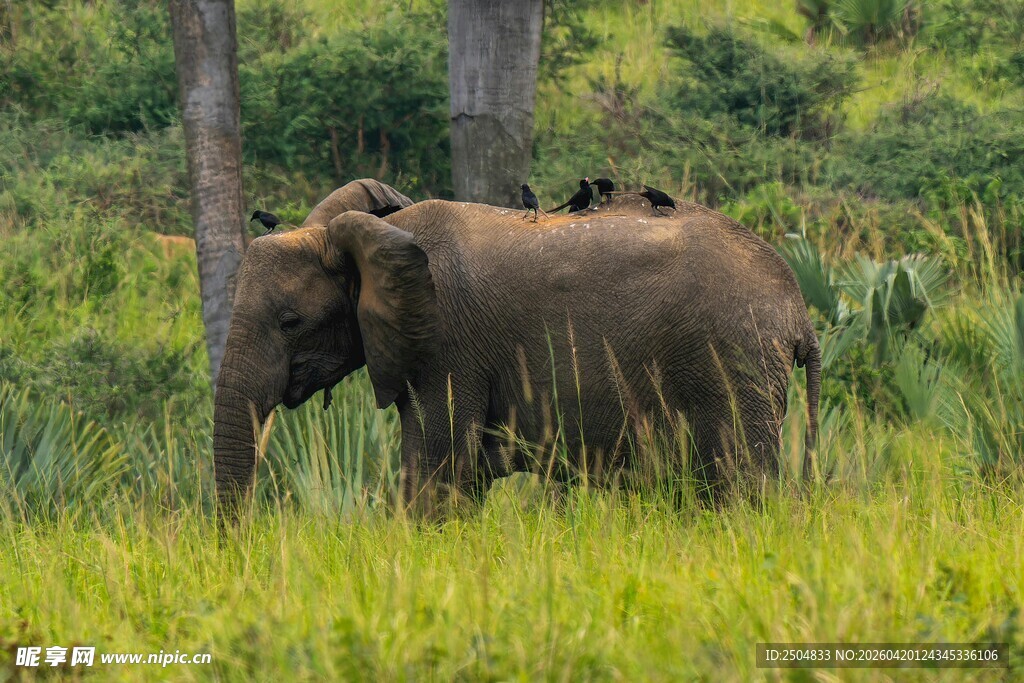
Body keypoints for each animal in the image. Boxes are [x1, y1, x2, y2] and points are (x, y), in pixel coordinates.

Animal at [213, 178, 821, 514]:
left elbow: (436, 471)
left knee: (739, 482)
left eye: (290, 322)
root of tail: (799, 312)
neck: (379, 234)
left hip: (733, 361)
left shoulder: (448, 346)